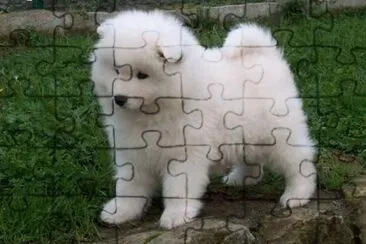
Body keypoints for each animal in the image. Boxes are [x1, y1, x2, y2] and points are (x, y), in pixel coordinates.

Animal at [90, 9, 316, 230]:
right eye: (116, 70)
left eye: (142, 75)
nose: (119, 99)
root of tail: (263, 53)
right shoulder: (132, 152)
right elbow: (129, 186)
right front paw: (120, 212)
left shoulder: (184, 154)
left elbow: (178, 187)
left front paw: (175, 215)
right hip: (246, 131)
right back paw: (240, 178)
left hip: (278, 132)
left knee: (299, 161)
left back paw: (297, 195)